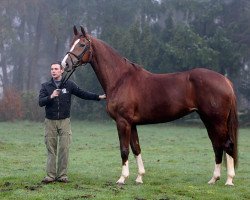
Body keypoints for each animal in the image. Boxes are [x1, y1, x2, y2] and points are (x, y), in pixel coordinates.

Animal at [61, 26, 238, 186]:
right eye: (71, 43)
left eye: (82, 44)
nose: (65, 64)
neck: (120, 79)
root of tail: (225, 80)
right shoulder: (132, 124)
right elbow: (136, 148)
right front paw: (139, 177)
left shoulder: (123, 122)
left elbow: (124, 149)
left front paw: (122, 178)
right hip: (208, 120)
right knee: (217, 145)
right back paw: (214, 179)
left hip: (216, 121)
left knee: (227, 144)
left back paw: (229, 180)